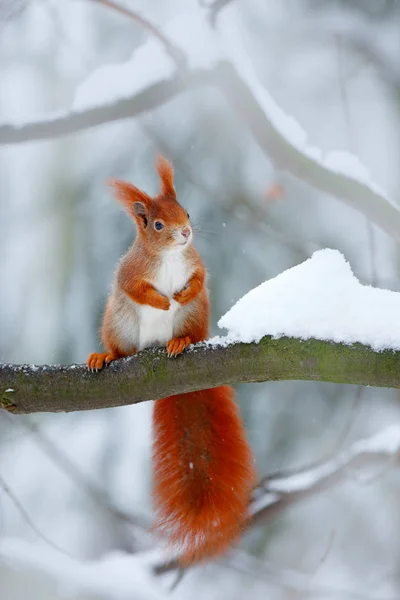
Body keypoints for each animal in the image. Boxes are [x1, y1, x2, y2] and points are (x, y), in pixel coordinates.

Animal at [87, 157, 256, 564]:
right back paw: (105, 355)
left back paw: (180, 342)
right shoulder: (130, 272)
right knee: (121, 350)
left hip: (195, 319)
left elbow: (199, 278)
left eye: (188, 212)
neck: (169, 257)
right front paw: (161, 300)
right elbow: (136, 287)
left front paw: (180, 294)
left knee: (190, 331)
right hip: (120, 324)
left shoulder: (196, 264)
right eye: (158, 225)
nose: (186, 233)